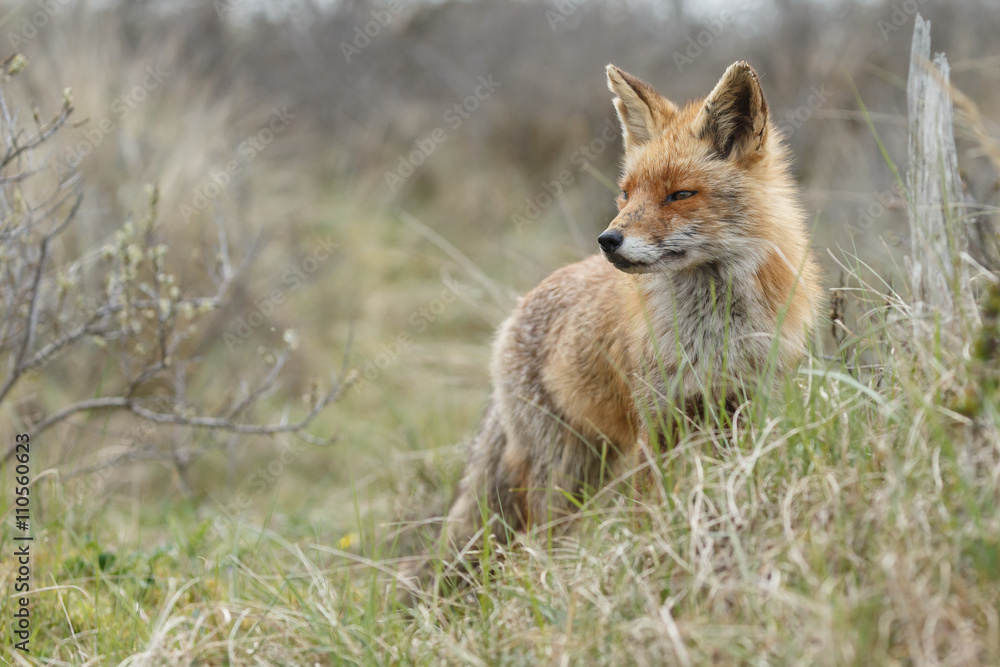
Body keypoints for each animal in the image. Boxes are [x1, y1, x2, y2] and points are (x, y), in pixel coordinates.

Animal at [404, 62, 820, 592]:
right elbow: (650, 511)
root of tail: (517, 309)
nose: (608, 239)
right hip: (566, 470)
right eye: (626, 194)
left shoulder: (750, 408)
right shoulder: (656, 425)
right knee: (536, 541)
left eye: (680, 195)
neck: (714, 334)